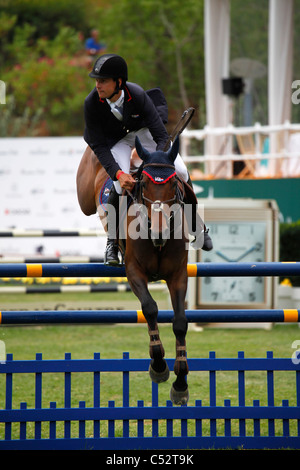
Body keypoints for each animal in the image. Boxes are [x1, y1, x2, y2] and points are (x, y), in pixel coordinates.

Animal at [77, 138, 190, 406]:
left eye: (174, 184)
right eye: (144, 184)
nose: (159, 232)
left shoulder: (178, 275)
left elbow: (180, 322)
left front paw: (181, 383)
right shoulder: (134, 271)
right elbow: (150, 308)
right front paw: (158, 365)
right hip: (86, 192)